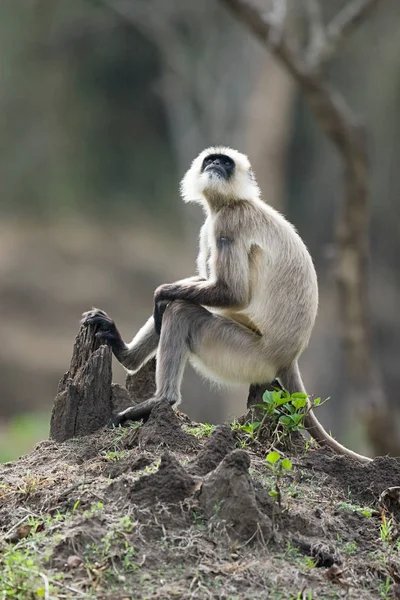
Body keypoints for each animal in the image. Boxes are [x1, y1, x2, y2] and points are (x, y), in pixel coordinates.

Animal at [83, 145, 374, 464]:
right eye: (211, 160)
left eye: (226, 163)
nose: (216, 166)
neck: (232, 202)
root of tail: (289, 358)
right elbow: (203, 281)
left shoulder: (230, 222)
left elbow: (233, 294)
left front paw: (160, 293)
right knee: (178, 305)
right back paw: (125, 354)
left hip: (247, 356)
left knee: (180, 311)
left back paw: (161, 400)